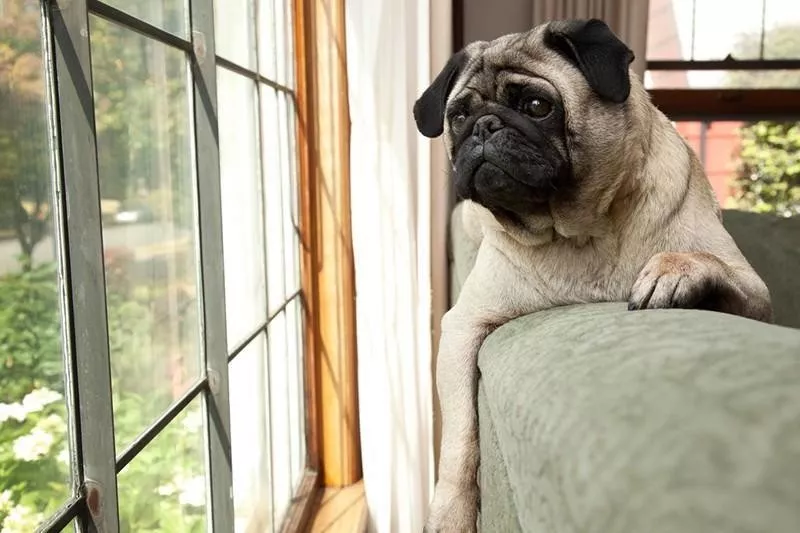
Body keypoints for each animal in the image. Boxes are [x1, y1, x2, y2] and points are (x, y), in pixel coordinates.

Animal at [416, 18, 772, 528]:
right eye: (458, 117)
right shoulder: (464, 327)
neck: (580, 232)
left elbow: (703, 261)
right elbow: (461, 437)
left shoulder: (754, 292)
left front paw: (673, 270)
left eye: (537, 106)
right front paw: (452, 514)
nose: (484, 125)